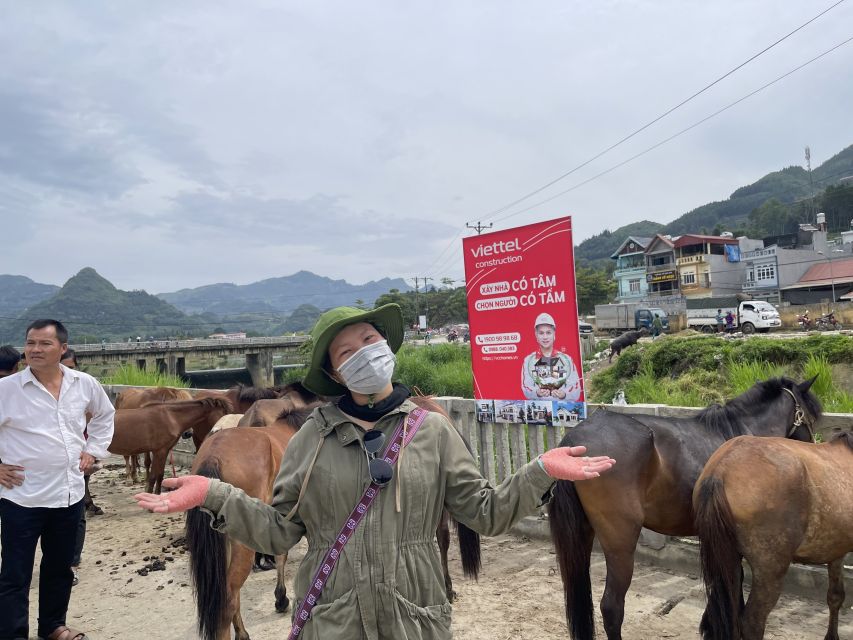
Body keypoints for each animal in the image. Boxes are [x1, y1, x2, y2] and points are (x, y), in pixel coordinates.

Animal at [544, 378, 820, 636]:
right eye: (810, 416)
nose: (812, 446)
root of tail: (574, 442)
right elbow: (733, 579)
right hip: (620, 542)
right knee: (612, 606)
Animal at [692, 432, 852, 636]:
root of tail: (720, 470)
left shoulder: (836, 550)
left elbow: (835, 596)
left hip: (727, 562)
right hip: (770, 570)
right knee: (752, 622)